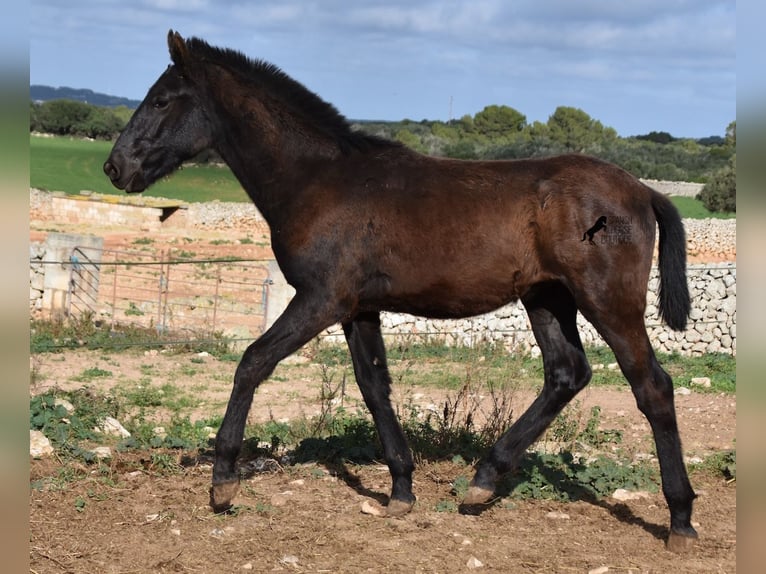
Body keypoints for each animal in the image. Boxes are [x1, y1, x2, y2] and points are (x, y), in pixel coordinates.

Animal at [105, 30, 700, 552]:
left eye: (161, 100)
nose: (116, 167)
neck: (320, 180)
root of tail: (644, 191)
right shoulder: (358, 308)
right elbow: (375, 386)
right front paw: (401, 489)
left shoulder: (321, 299)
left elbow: (252, 361)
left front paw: (222, 482)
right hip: (547, 299)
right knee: (566, 374)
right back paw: (483, 481)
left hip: (609, 302)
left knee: (652, 387)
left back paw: (680, 520)